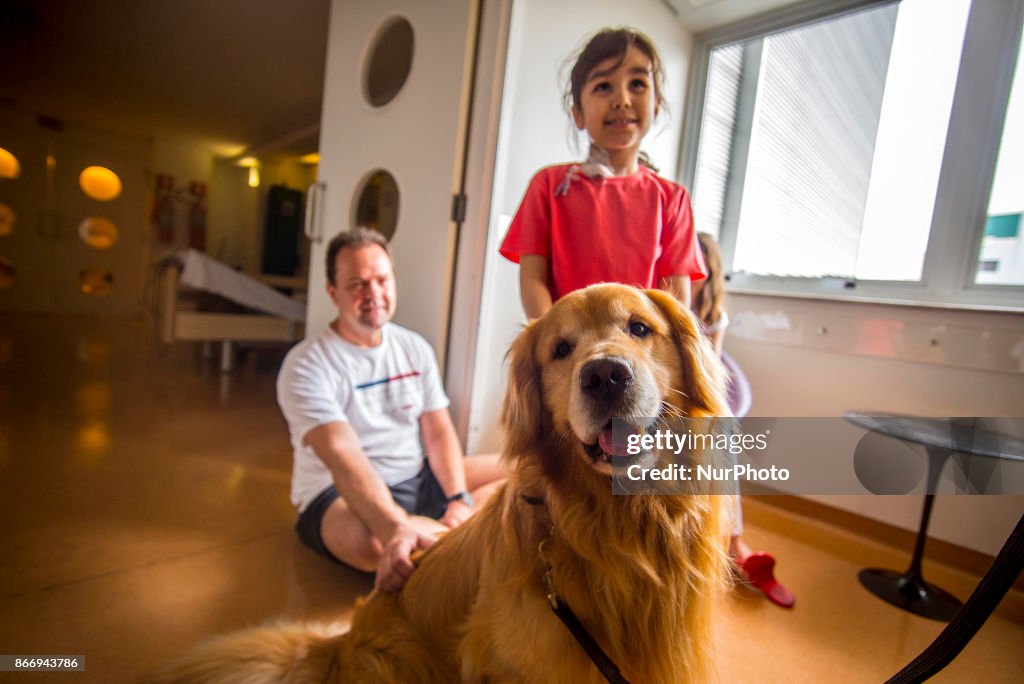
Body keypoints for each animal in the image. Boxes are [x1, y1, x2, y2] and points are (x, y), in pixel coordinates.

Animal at [159, 282, 733, 684]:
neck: (617, 526)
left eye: (639, 328)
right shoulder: (506, 663)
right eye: (561, 349)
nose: (606, 376)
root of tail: (338, 644)